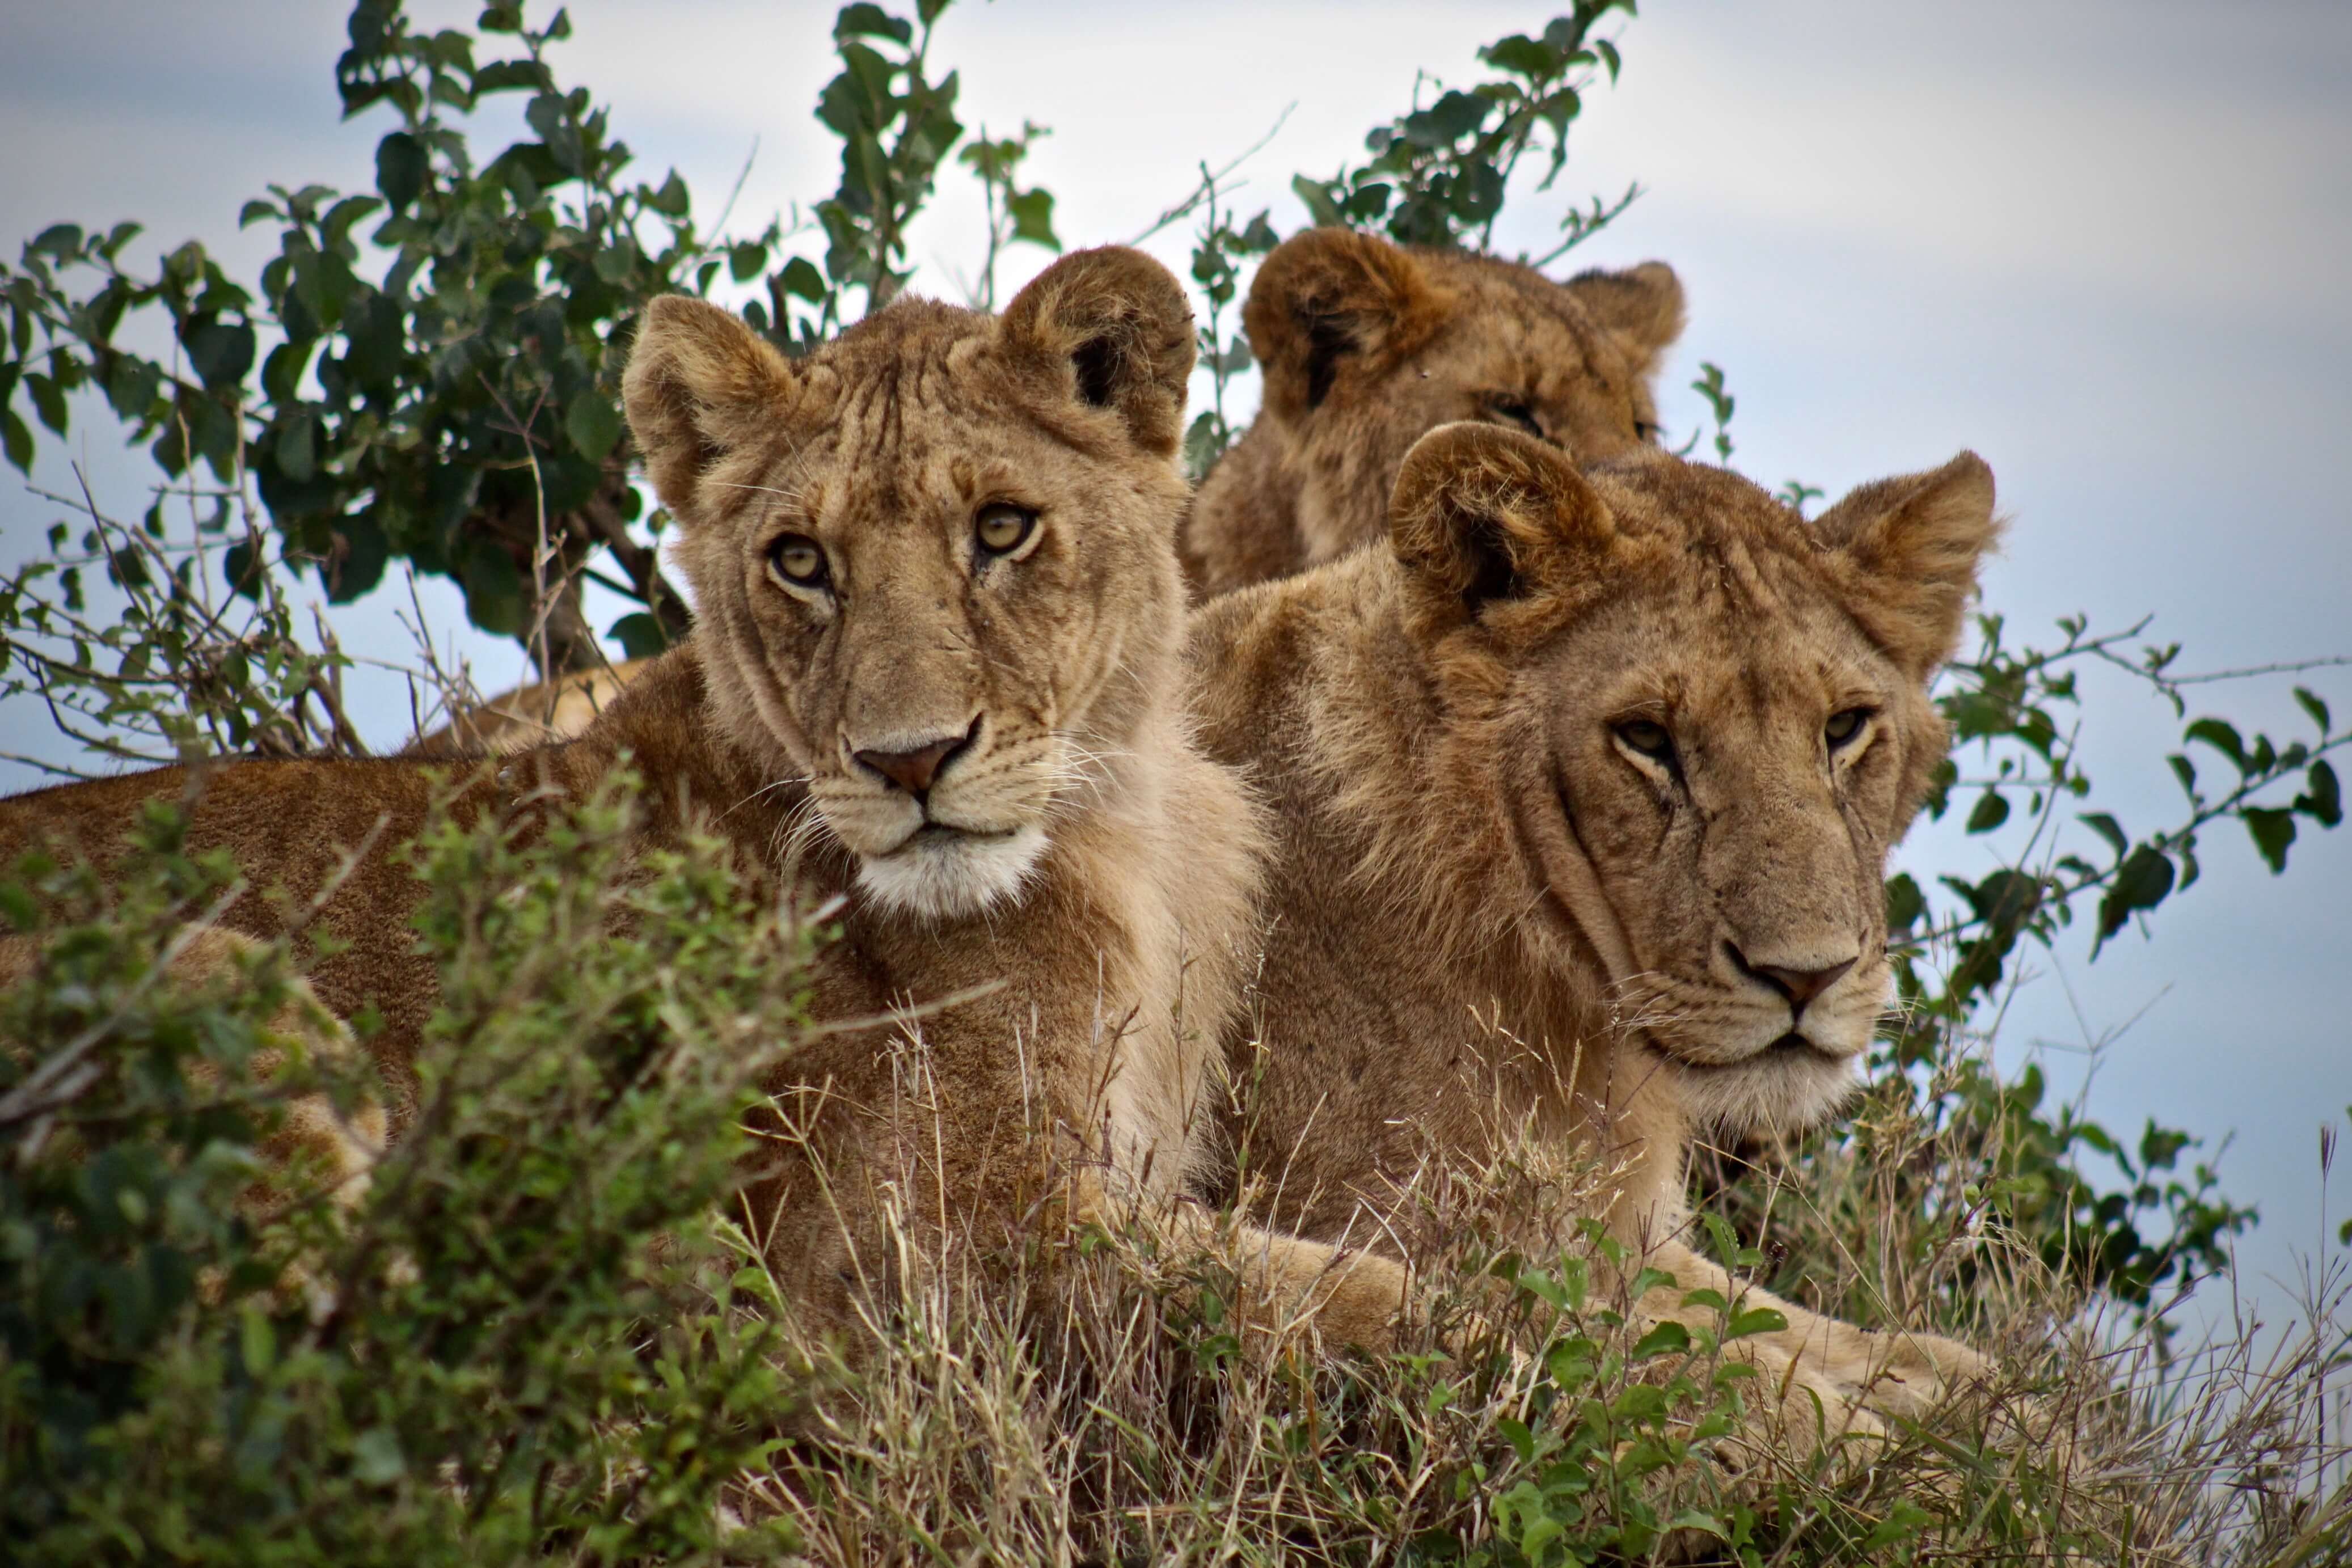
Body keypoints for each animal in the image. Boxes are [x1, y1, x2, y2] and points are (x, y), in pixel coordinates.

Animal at [0, 251, 1411, 1354]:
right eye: (801, 561)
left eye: (1004, 529)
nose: (909, 761)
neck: (1124, 809)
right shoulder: (935, 1250)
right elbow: (1383, 1298)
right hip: (203, 983)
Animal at [1185, 421, 2013, 1457]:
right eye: (1645, 739)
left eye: (1845, 727)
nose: (1806, 978)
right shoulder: (1396, 1234)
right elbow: (1726, 1382)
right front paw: (1914, 1467)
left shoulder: (1634, 1237)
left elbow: (1851, 1342)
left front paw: (2016, 1425)